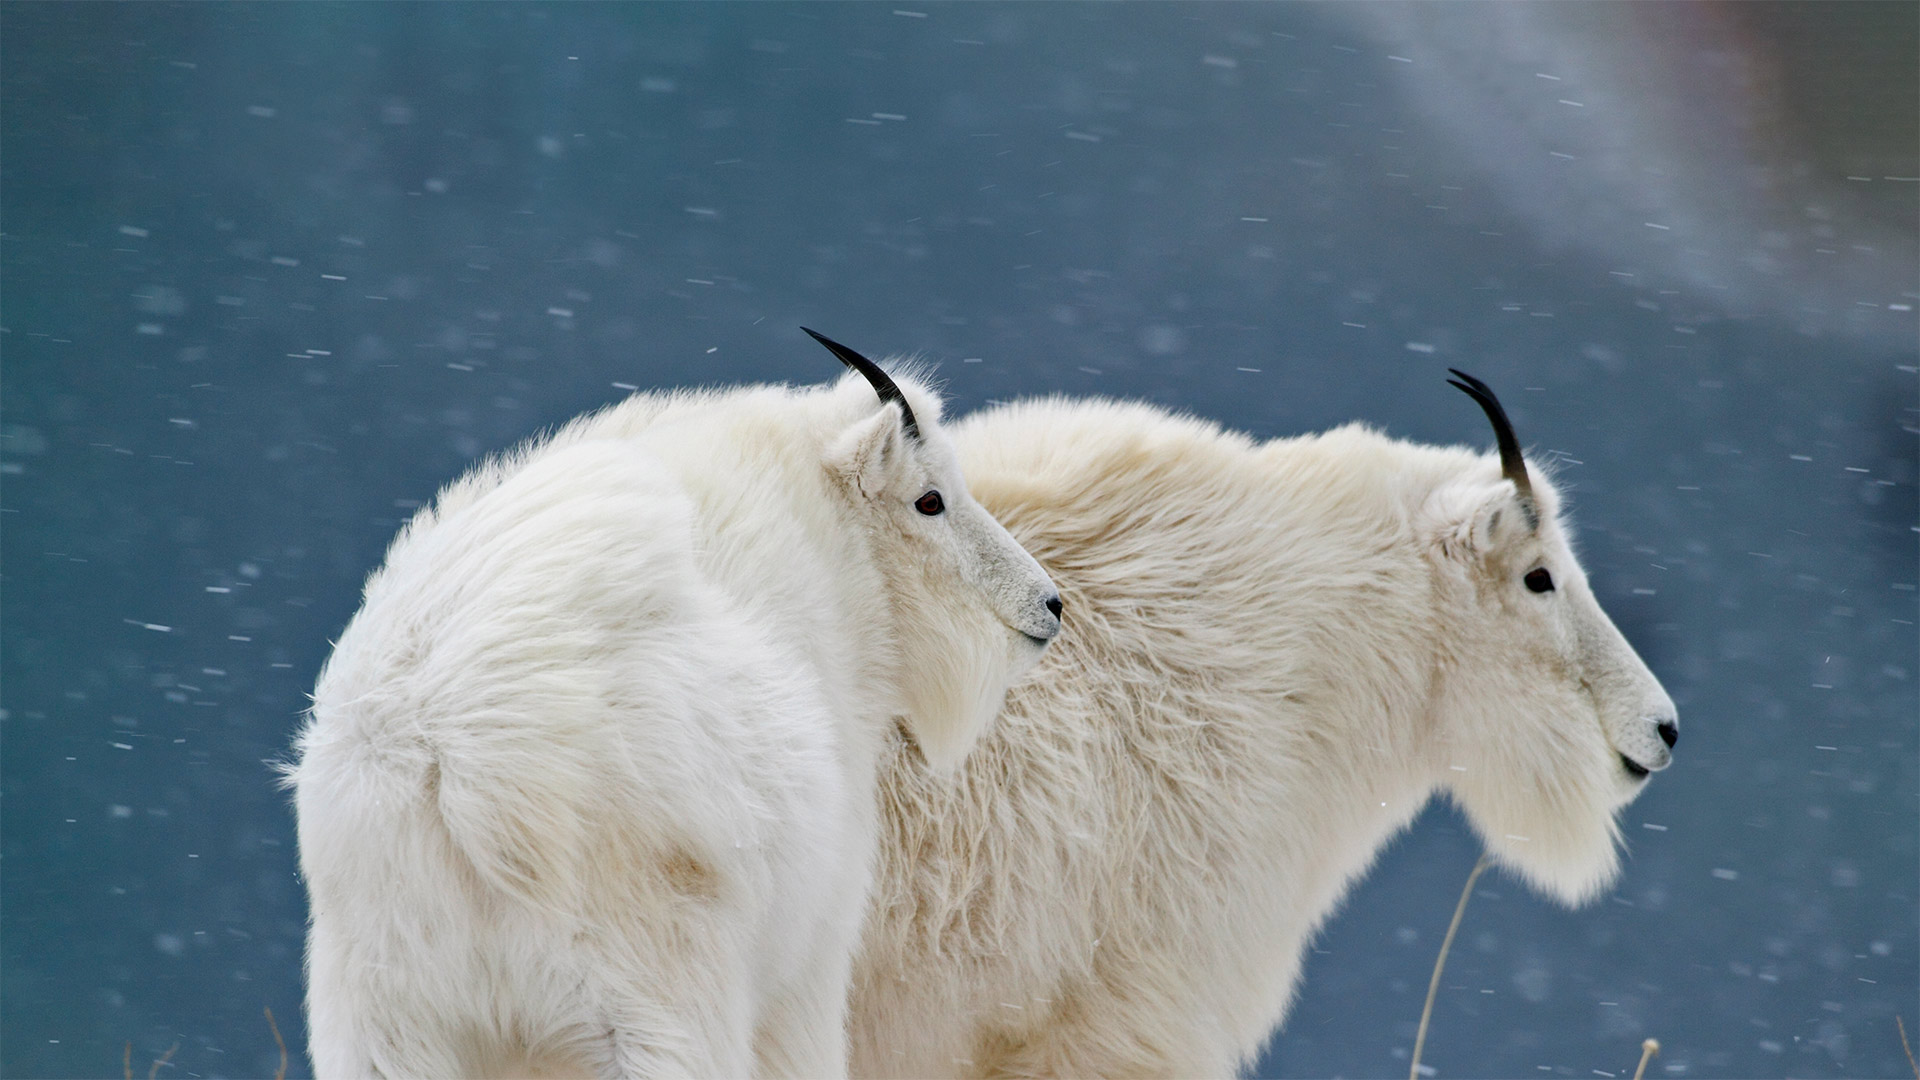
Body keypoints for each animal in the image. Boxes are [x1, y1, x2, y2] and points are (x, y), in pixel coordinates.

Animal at [286, 330, 1067, 1076]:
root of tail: (459, 756)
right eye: (929, 499)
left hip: (387, 1021)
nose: (1049, 605)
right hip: (659, 1002)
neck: (828, 555)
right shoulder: (805, 975)